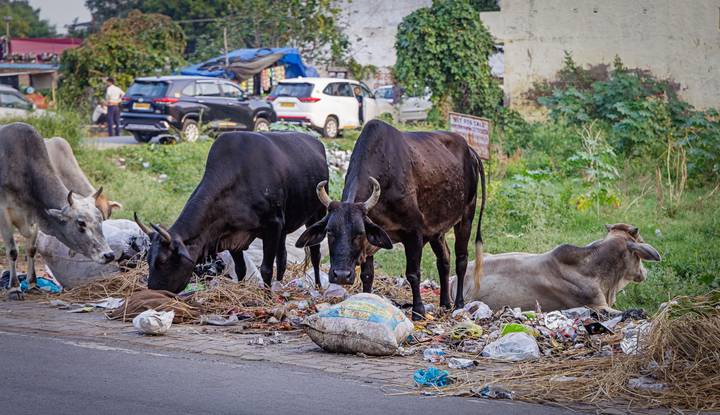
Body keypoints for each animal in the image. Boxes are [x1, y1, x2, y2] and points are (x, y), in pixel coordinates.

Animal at [0, 123, 115, 299]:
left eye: (101, 220)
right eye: (81, 223)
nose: (109, 255)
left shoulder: (36, 217)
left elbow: (31, 249)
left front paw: (32, 284)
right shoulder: (4, 214)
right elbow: (12, 251)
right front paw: (14, 288)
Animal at [134, 131, 328, 294]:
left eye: (162, 261)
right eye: (148, 259)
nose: (151, 291)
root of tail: (316, 142)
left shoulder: (273, 224)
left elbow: (266, 268)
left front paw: (266, 296)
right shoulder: (232, 235)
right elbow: (240, 269)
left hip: (317, 214)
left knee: (315, 254)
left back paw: (318, 287)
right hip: (285, 227)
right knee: (282, 258)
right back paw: (280, 286)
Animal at [296, 120, 486, 320]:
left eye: (359, 233)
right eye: (330, 232)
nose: (341, 275)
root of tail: (470, 150)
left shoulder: (414, 232)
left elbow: (413, 274)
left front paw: (418, 311)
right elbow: (367, 275)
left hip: (466, 216)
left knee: (461, 260)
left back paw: (458, 304)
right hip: (437, 230)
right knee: (444, 260)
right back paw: (444, 303)